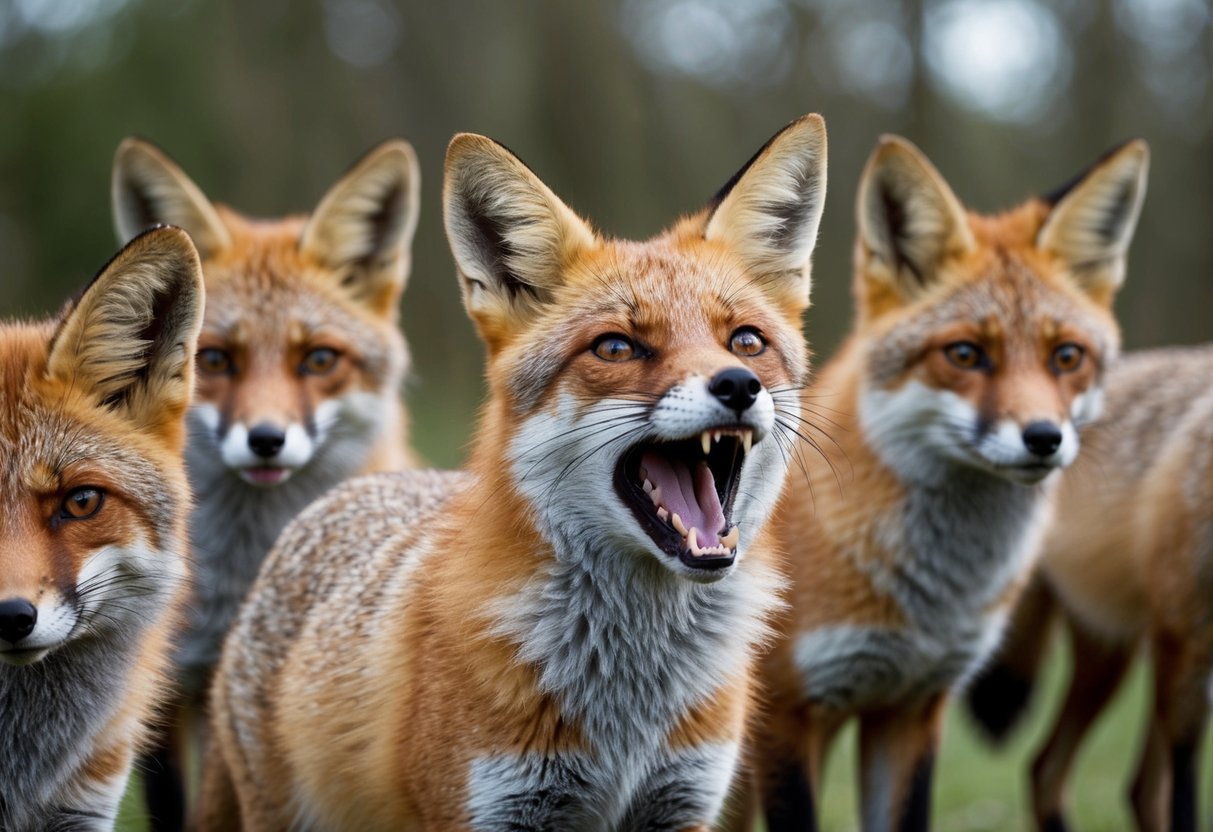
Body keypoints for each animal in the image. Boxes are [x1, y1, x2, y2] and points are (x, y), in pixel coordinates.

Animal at [198, 114, 829, 830]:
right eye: (616, 347)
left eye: (746, 341)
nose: (738, 385)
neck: (630, 709)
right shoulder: (494, 806)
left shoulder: (680, 802)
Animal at [731, 136, 1149, 831]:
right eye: (965, 355)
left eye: (1067, 357)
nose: (1044, 438)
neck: (929, 600)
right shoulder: (786, 716)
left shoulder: (914, 707)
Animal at [967, 346, 1213, 832]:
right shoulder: (1189, 652)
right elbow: (1186, 806)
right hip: (1140, 658)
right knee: (1050, 771)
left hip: (1129, 658)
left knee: (1130, 788)